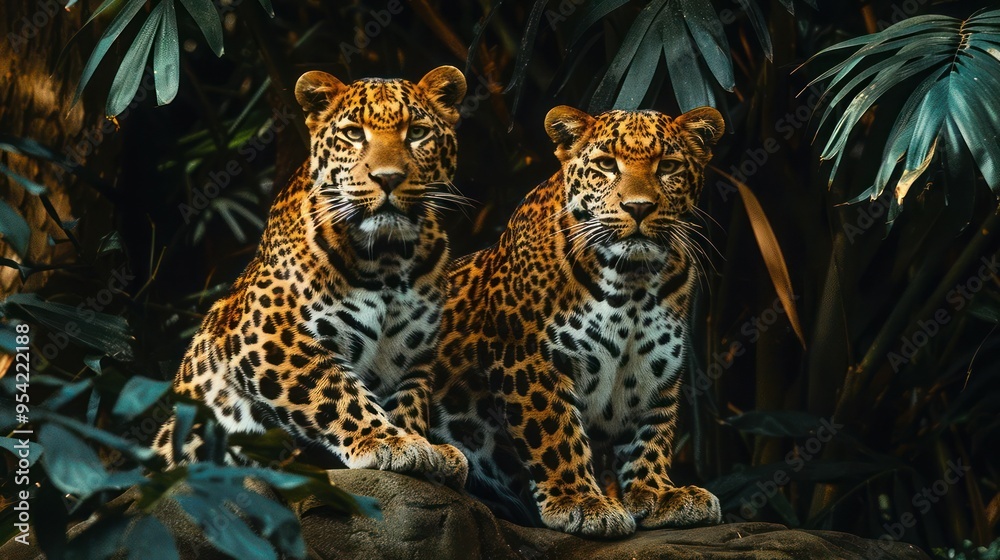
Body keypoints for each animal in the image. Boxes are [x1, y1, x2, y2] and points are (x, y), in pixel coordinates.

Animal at [152, 66, 469, 487]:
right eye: (354, 134)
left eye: (417, 132)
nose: (388, 178)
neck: (389, 257)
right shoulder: (270, 336)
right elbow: (338, 393)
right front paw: (388, 440)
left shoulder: (413, 353)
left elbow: (410, 400)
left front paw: (425, 446)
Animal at [431, 105, 725, 536]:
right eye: (606, 164)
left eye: (669, 166)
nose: (639, 207)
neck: (633, 280)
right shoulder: (527, 358)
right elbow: (555, 433)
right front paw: (581, 502)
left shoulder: (658, 367)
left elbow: (652, 432)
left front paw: (658, 493)